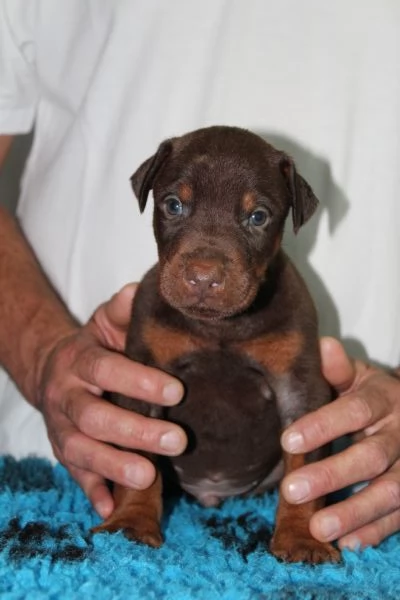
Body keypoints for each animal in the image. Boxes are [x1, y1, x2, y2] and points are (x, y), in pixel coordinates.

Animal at [94, 125, 340, 564]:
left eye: (258, 216)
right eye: (173, 205)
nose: (204, 277)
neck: (220, 328)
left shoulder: (300, 388)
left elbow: (303, 472)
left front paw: (302, 538)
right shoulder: (144, 378)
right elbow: (138, 462)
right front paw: (130, 524)